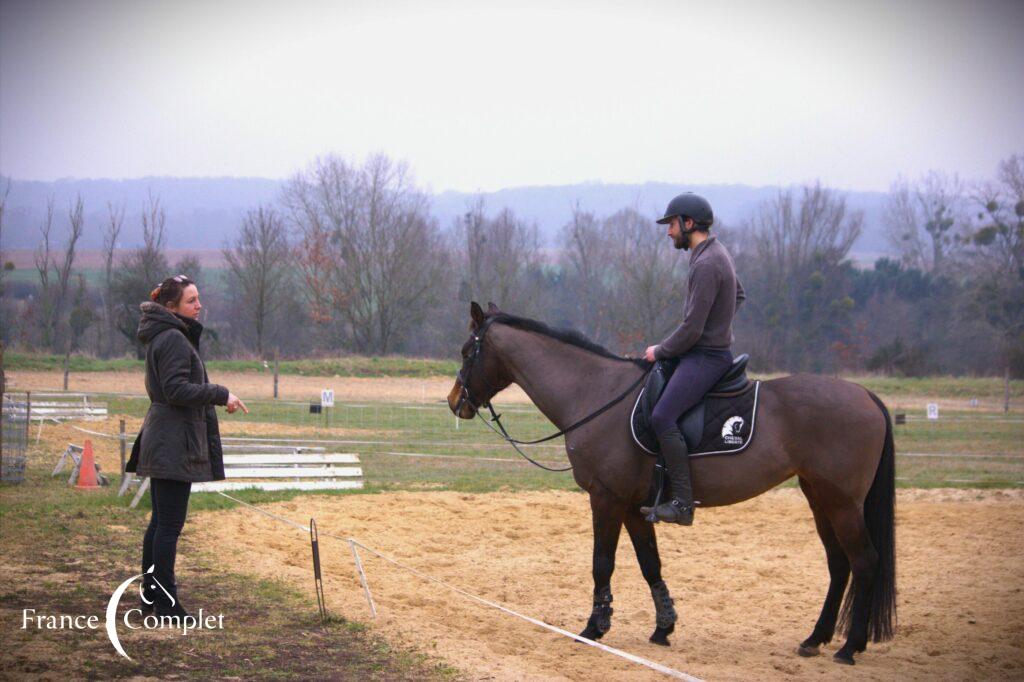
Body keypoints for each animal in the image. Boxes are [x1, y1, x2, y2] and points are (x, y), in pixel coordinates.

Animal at [448, 303, 897, 663]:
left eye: (468, 351)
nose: (455, 401)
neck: (597, 394)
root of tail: (866, 396)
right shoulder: (634, 506)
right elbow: (650, 564)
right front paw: (663, 626)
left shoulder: (606, 499)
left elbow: (602, 563)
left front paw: (595, 628)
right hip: (819, 497)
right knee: (839, 564)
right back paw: (815, 639)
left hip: (842, 504)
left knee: (864, 562)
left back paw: (848, 647)